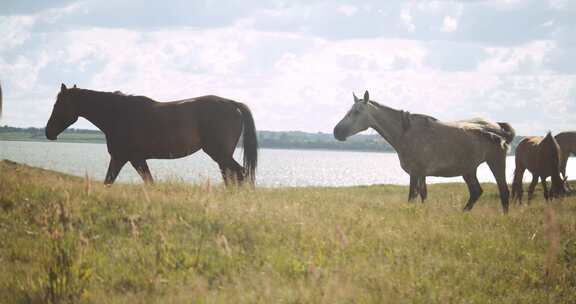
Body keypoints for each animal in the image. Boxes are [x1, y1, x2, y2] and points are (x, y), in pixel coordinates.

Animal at [46, 84, 258, 186]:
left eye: (58, 105)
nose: (48, 132)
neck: (118, 114)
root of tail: (233, 103)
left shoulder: (124, 158)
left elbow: (110, 181)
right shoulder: (134, 159)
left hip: (220, 154)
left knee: (240, 174)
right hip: (222, 156)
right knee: (232, 176)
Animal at [332, 91, 512, 213]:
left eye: (356, 112)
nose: (336, 132)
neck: (406, 132)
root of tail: (498, 128)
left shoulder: (415, 172)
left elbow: (412, 196)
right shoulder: (421, 173)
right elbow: (423, 195)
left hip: (496, 163)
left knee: (504, 192)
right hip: (468, 170)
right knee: (476, 192)